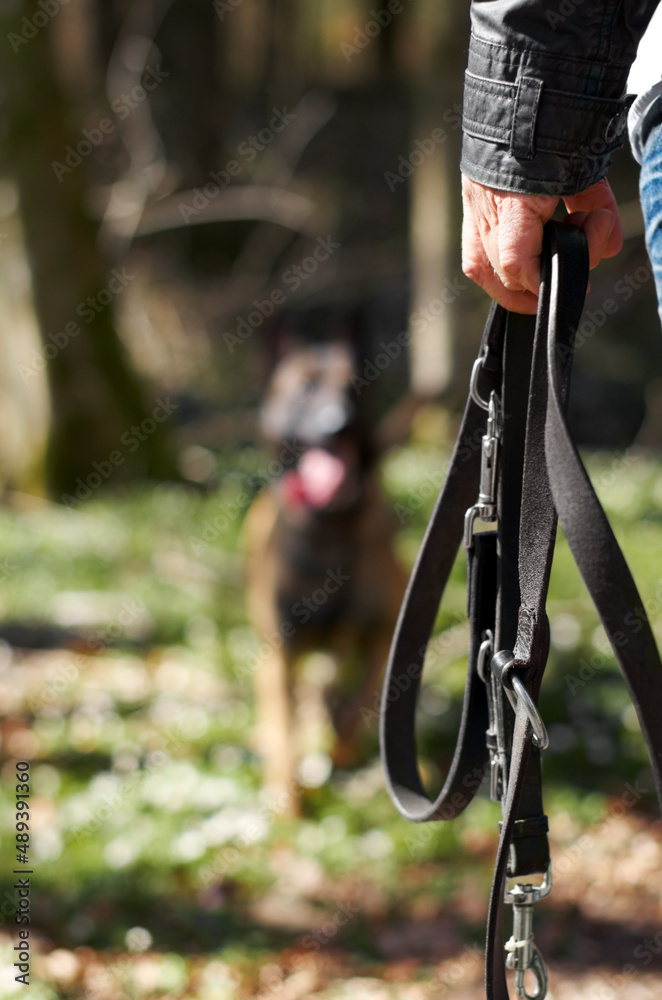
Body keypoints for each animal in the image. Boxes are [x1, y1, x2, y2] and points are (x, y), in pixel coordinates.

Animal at [245, 342, 408, 812]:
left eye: (355, 387)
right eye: (304, 389)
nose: (338, 424)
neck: (330, 527)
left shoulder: (383, 638)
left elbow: (357, 706)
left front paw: (340, 742)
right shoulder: (280, 652)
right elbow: (285, 729)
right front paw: (288, 803)